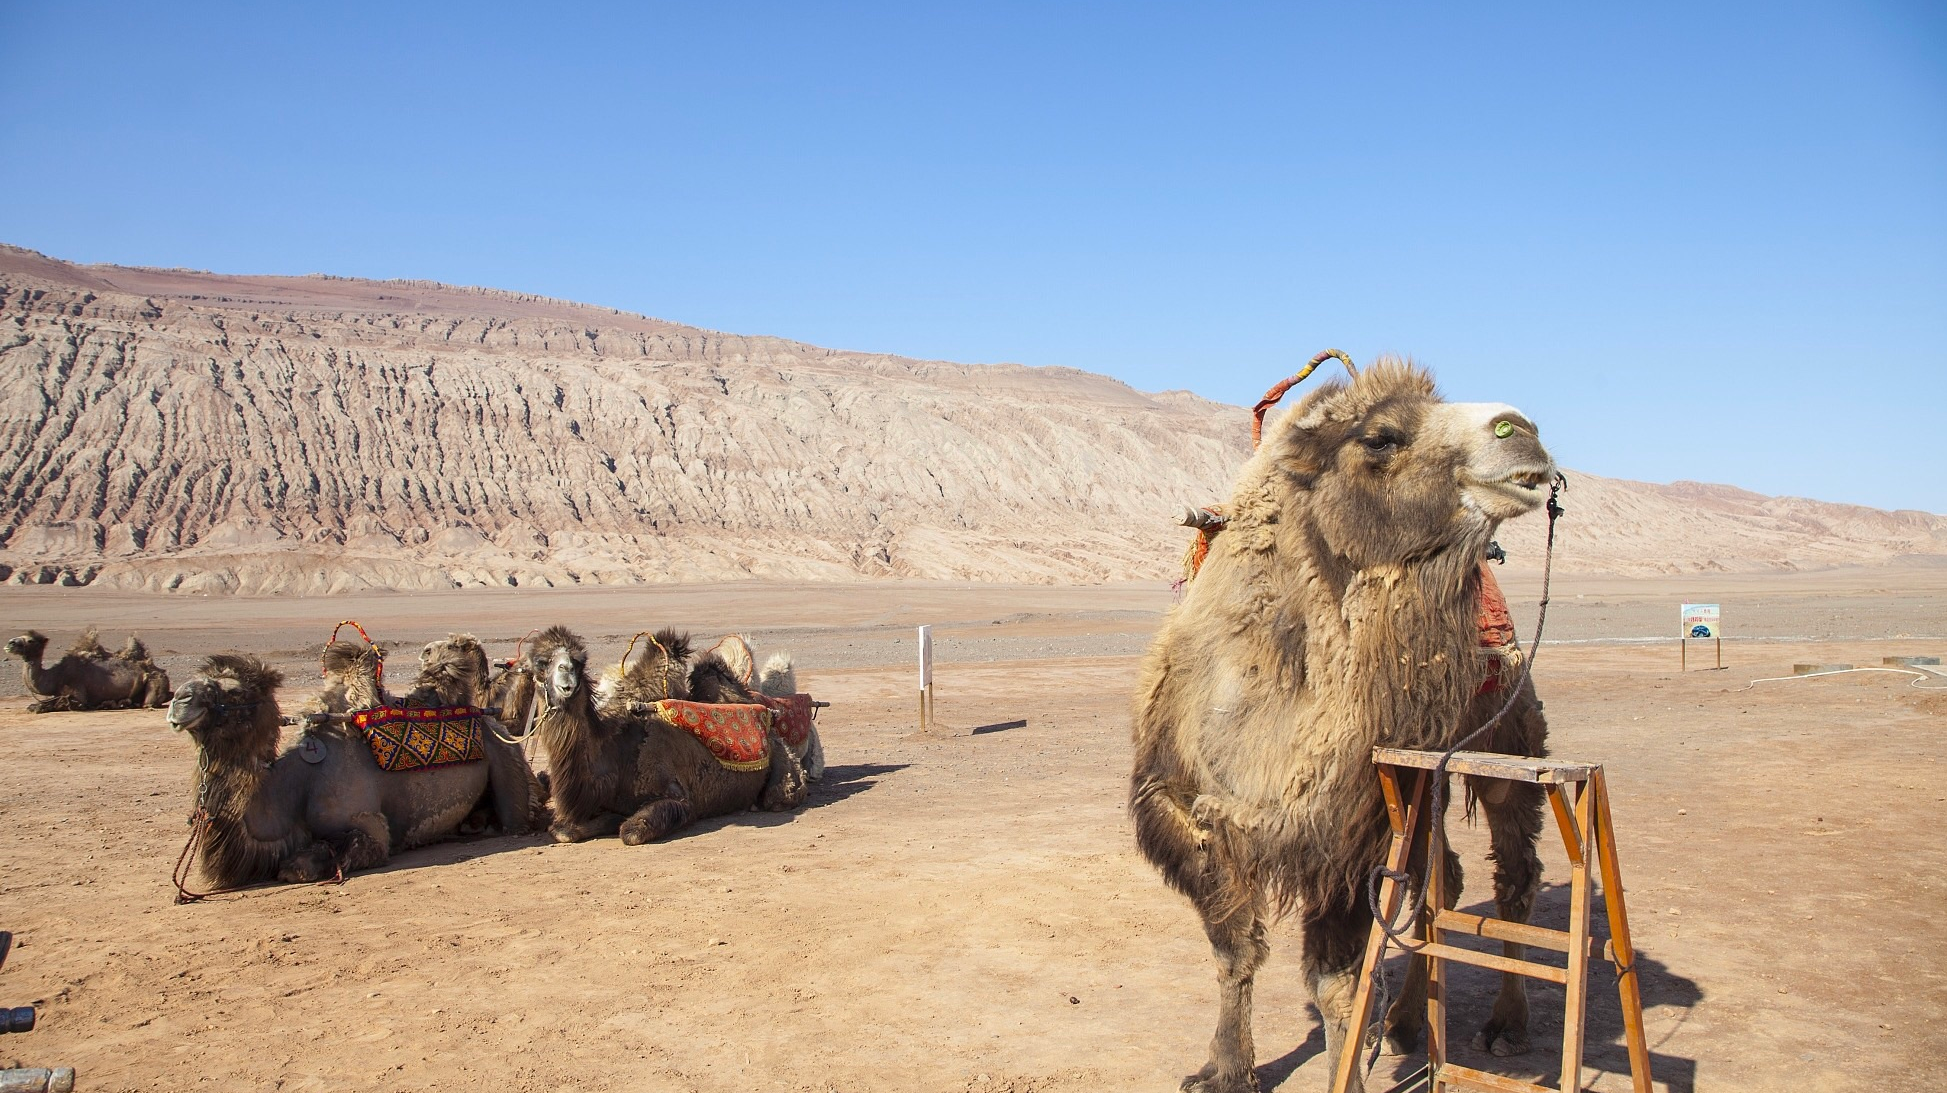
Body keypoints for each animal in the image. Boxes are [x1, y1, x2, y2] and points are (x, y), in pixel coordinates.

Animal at [8, 627, 171, 713]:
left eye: (30, 641)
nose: (10, 643)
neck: (57, 675)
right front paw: (34, 706)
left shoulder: (77, 692)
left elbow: (61, 704)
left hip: (155, 681)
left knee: (148, 702)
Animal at [165, 646, 533, 888]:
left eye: (234, 692)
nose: (179, 700)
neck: (299, 783)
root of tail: (493, 721)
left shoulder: (370, 825)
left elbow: (299, 865)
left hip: (506, 761)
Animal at [525, 623, 806, 845]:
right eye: (540, 663)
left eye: (579, 660)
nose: (567, 678)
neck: (613, 753)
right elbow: (561, 831)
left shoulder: (678, 796)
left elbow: (631, 832)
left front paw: (619, 821)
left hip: (781, 763)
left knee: (778, 796)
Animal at [1137, 360, 1557, 1091]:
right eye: (1381, 437)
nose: (1519, 428)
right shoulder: (1191, 813)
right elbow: (1232, 952)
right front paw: (1225, 1068)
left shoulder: (1347, 833)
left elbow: (1335, 982)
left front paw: (1344, 1067)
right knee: (1441, 879)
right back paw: (1408, 1021)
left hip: (1505, 737)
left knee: (1513, 873)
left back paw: (1506, 1026)